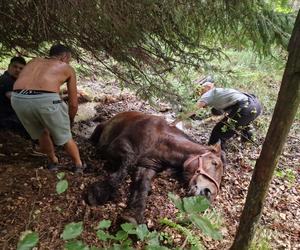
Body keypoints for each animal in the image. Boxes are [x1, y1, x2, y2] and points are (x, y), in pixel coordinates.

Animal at [85, 111, 224, 225]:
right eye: (215, 163)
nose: (208, 193)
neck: (159, 141)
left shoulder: (146, 167)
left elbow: (143, 186)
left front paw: (133, 215)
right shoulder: (114, 147)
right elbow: (129, 161)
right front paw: (101, 191)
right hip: (100, 130)